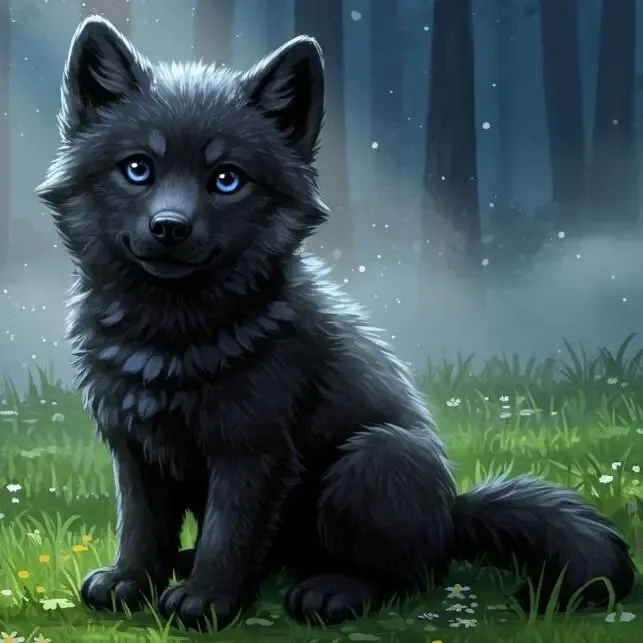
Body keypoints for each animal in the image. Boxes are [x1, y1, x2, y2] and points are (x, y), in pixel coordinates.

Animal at [37, 16, 636, 632]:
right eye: (138, 168)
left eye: (227, 179)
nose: (170, 227)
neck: (170, 337)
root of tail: (453, 514)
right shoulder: (133, 450)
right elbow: (141, 526)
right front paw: (132, 583)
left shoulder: (251, 451)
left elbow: (229, 533)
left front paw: (206, 600)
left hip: (376, 460)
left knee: (407, 574)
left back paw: (332, 592)